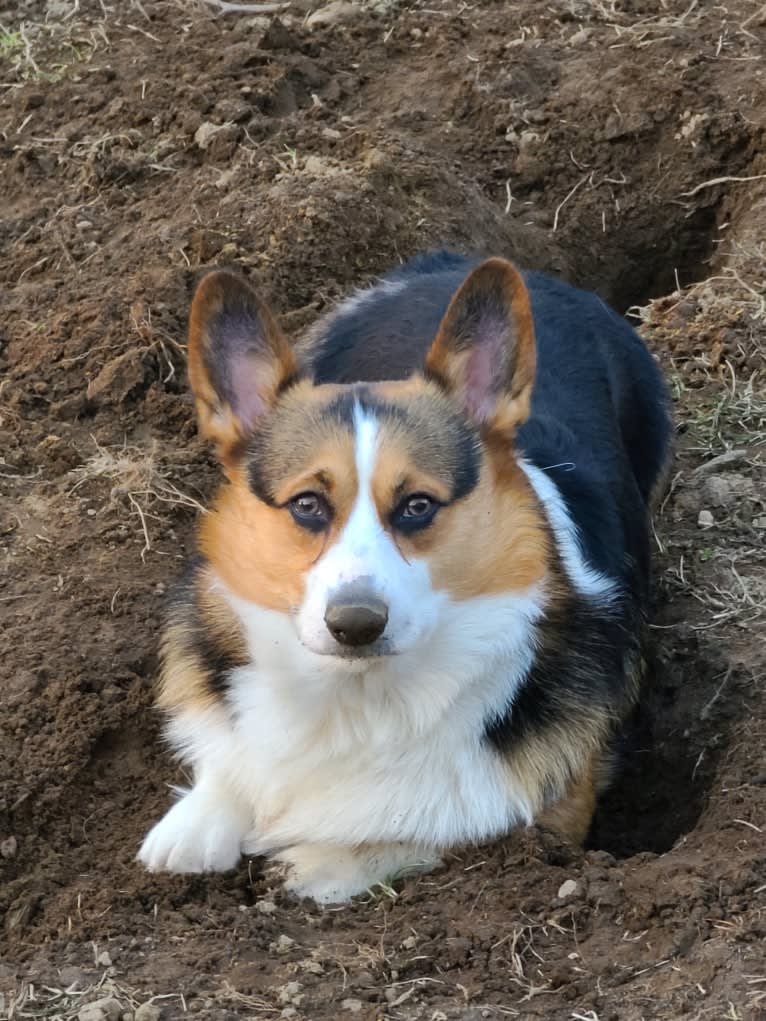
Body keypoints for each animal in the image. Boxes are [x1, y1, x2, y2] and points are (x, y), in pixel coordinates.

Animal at [137, 253, 669, 902]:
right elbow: (231, 766)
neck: (359, 698)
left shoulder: (546, 823)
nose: (355, 625)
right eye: (307, 504)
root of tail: (452, 260)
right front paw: (189, 833)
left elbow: (418, 829)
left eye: (417, 505)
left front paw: (312, 865)